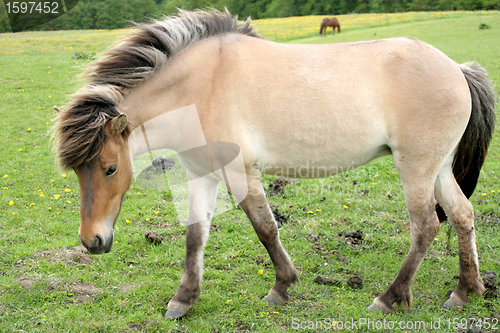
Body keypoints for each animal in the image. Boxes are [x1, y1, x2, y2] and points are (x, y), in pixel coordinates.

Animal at [54, 9, 496, 318]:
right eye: (77, 171)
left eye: (110, 168)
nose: (92, 241)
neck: (200, 86)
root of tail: (457, 68)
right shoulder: (201, 174)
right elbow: (195, 236)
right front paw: (183, 300)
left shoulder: (239, 172)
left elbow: (265, 227)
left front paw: (282, 287)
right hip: (437, 168)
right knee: (462, 215)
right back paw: (466, 291)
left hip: (416, 169)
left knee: (426, 227)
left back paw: (390, 298)